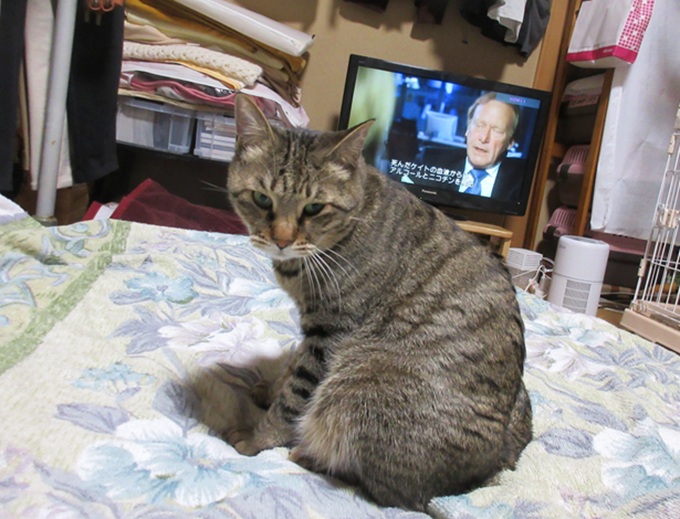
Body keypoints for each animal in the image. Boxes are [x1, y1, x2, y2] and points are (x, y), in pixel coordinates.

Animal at [225, 94, 532, 512]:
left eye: (314, 208)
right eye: (261, 199)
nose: (282, 240)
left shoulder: (331, 334)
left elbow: (293, 396)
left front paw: (257, 439)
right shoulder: (312, 329)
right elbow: (289, 374)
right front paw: (268, 390)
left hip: (353, 390)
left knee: (385, 488)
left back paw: (307, 454)